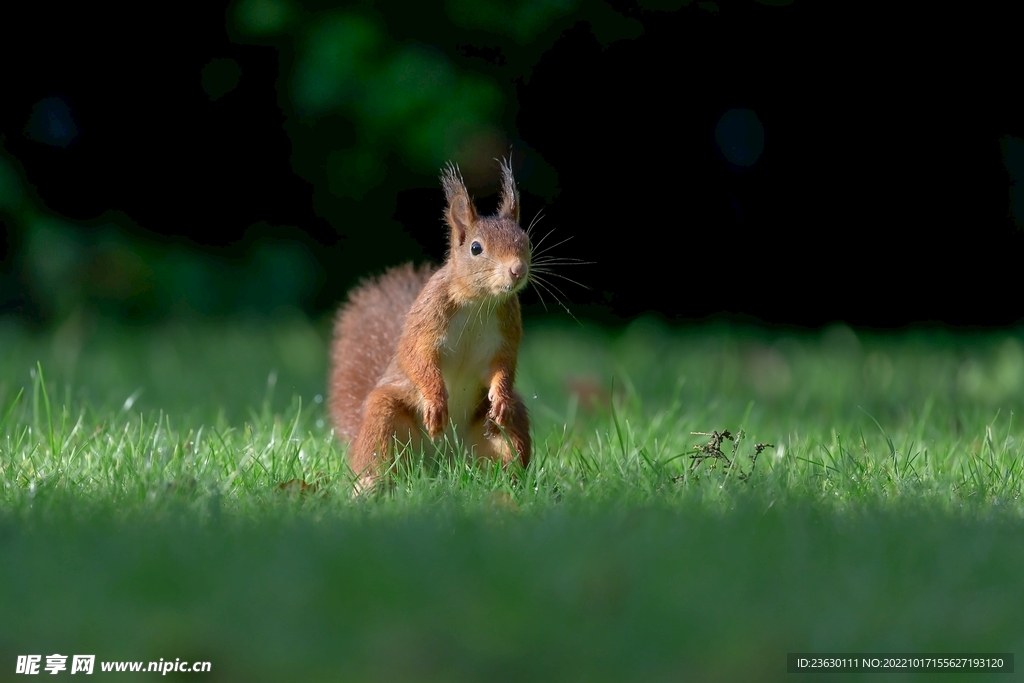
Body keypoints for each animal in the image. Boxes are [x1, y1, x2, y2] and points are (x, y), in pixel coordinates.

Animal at [329, 160, 536, 491]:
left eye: (525, 240)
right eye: (476, 248)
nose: (517, 270)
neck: (479, 303)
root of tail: (439, 462)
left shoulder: (507, 331)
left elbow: (503, 366)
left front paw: (500, 397)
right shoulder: (427, 318)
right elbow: (417, 357)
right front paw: (436, 401)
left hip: (502, 433)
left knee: (506, 445)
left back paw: (507, 483)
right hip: (383, 417)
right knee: (378, 453)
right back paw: (370, 486)